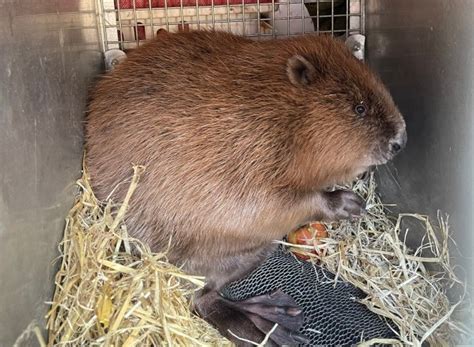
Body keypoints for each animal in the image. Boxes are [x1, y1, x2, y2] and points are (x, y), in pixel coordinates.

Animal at [83, 29, 406, 346]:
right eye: (360, 108)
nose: (400, 141)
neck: (280, 114)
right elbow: (276, 205)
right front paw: (348, 204)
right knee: (199, 299)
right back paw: (271, 330)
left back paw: (278, 318)